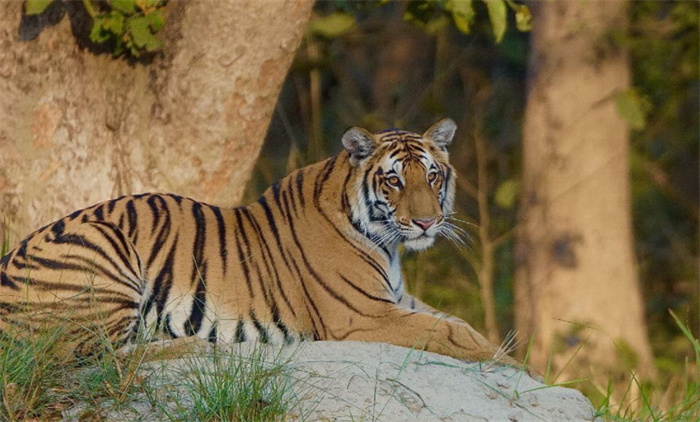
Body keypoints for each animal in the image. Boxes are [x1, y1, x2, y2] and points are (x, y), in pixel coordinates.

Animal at [0, 118, 524, 372]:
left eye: (432, 176)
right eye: (394, 180)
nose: (426, 222)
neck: (386, 242)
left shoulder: (397, 299)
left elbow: (458, 323)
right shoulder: (364, 315)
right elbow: (456, 335)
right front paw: (518, 367)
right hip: (107, 248)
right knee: (88, 355)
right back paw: (196, 347)